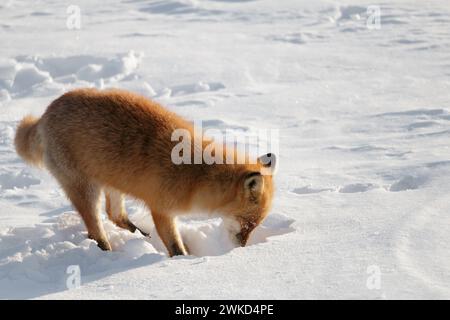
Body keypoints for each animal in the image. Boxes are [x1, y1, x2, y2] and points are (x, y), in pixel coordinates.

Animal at [14, 88, 274, 258]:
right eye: (248, 224)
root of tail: (47, 113)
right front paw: (184, 261)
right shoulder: (162, 209)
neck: (195, 175)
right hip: (86, 190)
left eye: (255, 226)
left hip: (112, 183)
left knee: (115, 216)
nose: (241, 250)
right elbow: (176, 248)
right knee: (96, 229)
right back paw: (108, 252)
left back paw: (142, 237)